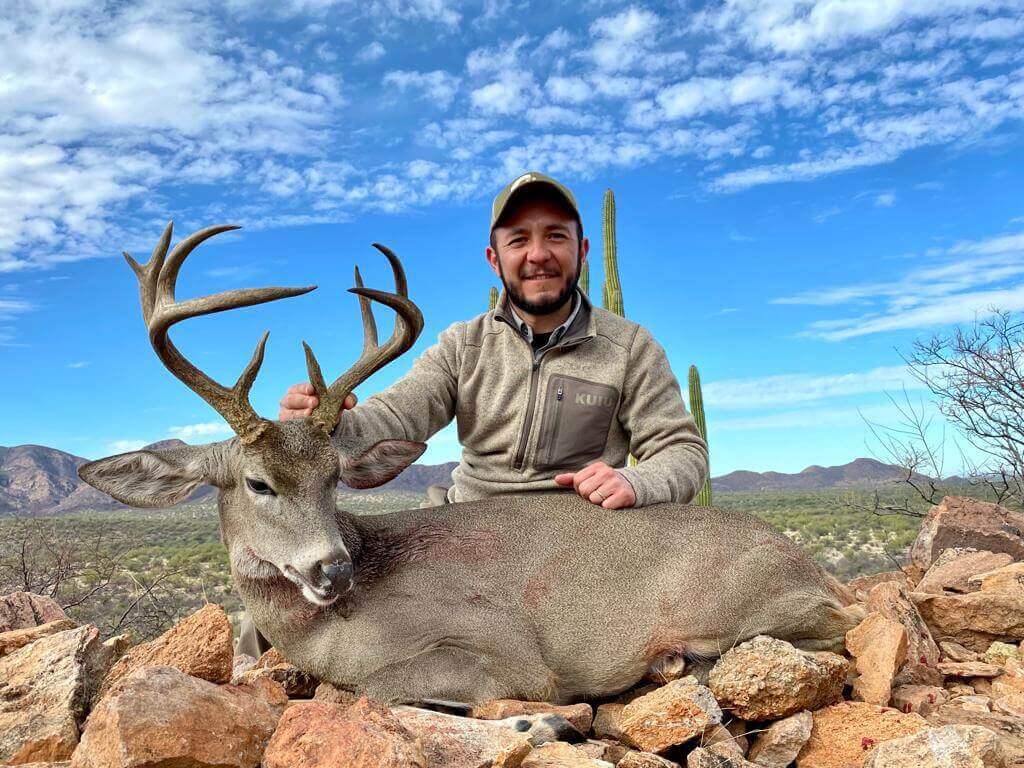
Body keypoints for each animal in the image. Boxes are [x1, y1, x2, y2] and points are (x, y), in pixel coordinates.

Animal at [79, 222, 860, 705]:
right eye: (258, 482)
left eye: (334, 477)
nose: (333, 569)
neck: (331, 630)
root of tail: (809, 565)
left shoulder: (510, 654)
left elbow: (383, 686)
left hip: (767, 604)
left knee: (837, 632)